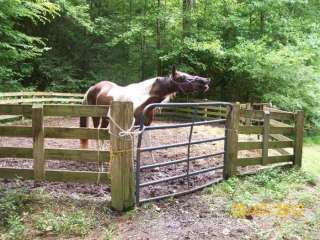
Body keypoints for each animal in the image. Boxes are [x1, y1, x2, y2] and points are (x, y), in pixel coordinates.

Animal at [80, 66, 210, 148]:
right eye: (181, 78)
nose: (205, 81)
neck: (143, 99)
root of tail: (93, 87)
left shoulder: (145, 126)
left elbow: (146, 146)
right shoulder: (130, 128)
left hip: (106, 119)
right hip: (96, 117)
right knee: (97, 134)